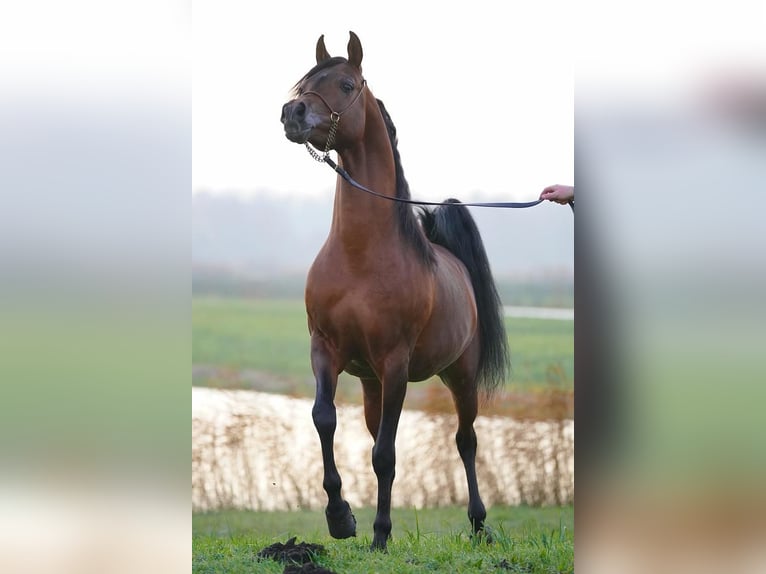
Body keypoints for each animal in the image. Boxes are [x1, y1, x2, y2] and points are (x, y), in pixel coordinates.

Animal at [280, 31, 510, 552]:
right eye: (305, 82)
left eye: (346, 85)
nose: (292, 113)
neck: (360, 255)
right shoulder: (326, 349)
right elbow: (325, 419)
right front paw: (341, 518)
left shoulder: (395, 363)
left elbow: (386, 454)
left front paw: (380, 535)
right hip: (371, 384)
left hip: (459, 375)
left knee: (466, 441)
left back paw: (479, 524)